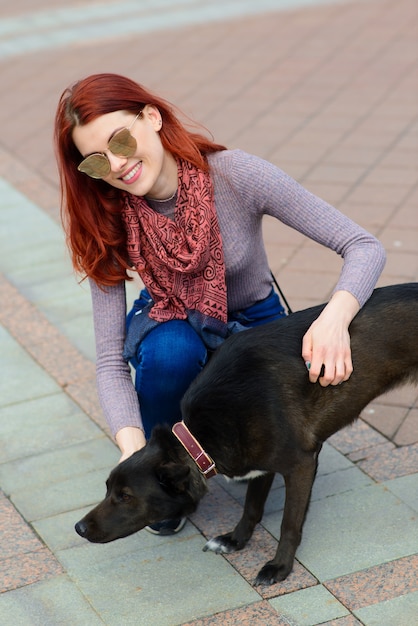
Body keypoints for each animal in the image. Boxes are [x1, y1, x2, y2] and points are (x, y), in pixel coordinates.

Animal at [76, 282, 418, 584]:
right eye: (107, 488)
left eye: (125, 496)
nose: (79, 528)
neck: (200, 438)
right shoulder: (259, 465)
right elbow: (251, 506)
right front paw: (235, 540)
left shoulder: (302, 464)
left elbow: (289, 524)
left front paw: (279, 567)